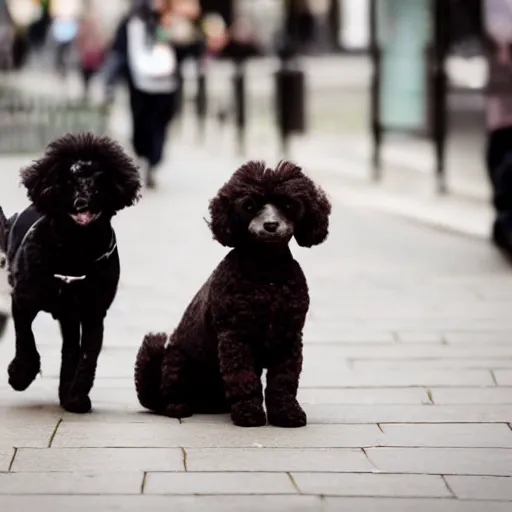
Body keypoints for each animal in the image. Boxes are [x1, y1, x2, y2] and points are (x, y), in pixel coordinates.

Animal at [0, 132, 140, 412]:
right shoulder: (23, 300)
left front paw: (76, 397)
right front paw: (20, 374)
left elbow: (88, 355)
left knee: (71, 349)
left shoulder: (93, 311)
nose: (81, 202)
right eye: (67, 181)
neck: (76, 248)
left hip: (70, 313)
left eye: (99, 180)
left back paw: (66, 391)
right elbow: (25, 338)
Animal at [134, 161, 330, 428]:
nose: (270, 225)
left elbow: (283, 382)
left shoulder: (288, 338)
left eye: (288, 205)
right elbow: (243, 378)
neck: (266, 272)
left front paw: (287, 414)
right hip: (176, 361)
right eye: (249, 206)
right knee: (170, 394)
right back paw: (178, 407)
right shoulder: (235, 337)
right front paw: (249, 413)